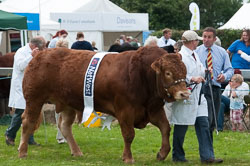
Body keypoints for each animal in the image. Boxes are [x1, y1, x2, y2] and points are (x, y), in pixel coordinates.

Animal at [18, 46, 189, 163]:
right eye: (168, 72)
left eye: (185, 71)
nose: (184, 94)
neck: (141, 75)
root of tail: (40, 54)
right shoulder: (125, 110)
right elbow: (129, 134)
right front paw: (128, 157)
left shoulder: (153, 109)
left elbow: (165, 128)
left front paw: (162, 153)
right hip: (34, 99)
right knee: (28, 122)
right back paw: (22, 152)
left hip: (67, 104)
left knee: (65, 126)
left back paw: (77, 151)